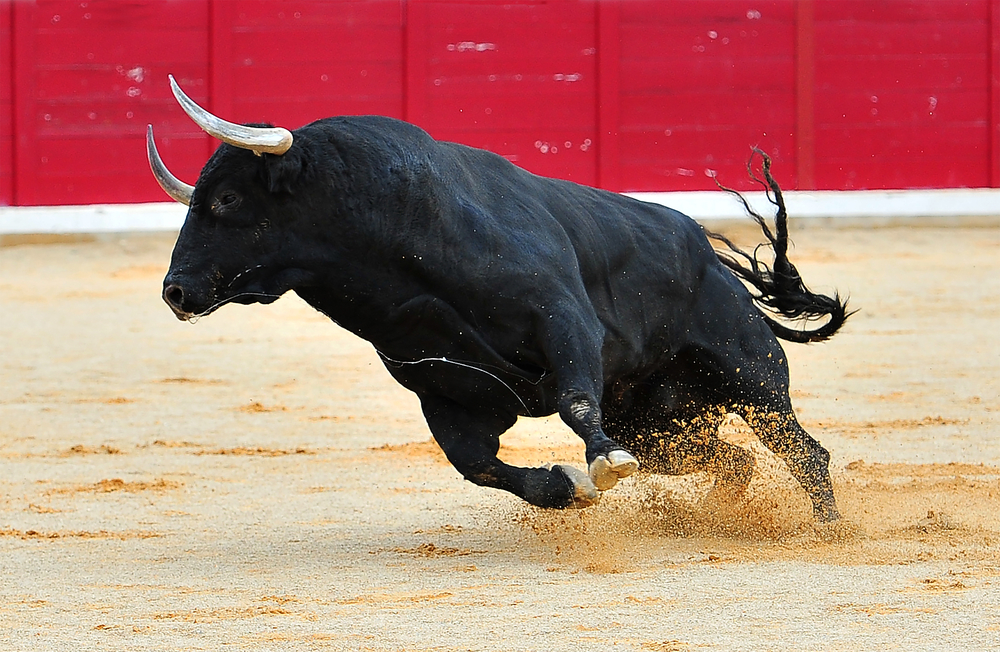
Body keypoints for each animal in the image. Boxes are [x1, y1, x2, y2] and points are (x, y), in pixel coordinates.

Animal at [150, 83, 852, 520]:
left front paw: (599, 466)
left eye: (227, 199)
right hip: (656, 422)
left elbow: (573, 400)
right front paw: (565, 487)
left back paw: (826, 529)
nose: (175, 291)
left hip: (749, 372)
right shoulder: (444, 392)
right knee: (730, 461)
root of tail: (708, 254)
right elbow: (478, 466)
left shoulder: (563, 319)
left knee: (803, 450)